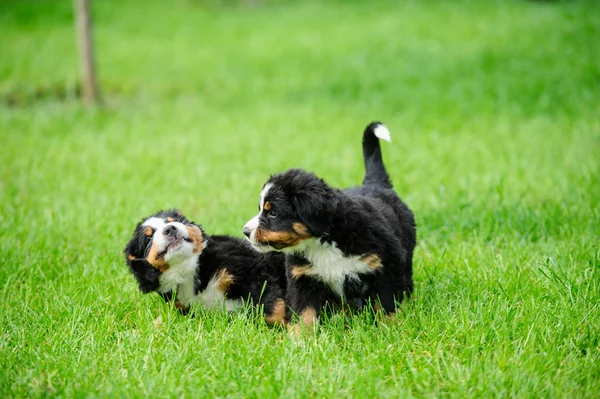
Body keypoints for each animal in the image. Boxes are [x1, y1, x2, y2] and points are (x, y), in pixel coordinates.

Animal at [123, 209, 288, 324]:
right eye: (148, 237)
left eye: (174, 220)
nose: (170, 228)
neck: (188, 269)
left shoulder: (254, 270)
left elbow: (272, 306)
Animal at [241, 122, 414, 334]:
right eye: (261, 209)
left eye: (272, 212)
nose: (245, 231)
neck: (321, 243)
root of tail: (376, 184)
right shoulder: (303, 278)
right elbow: (304, 313)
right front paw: (300, 338)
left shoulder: (387, 265)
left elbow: (387, 304)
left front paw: (390, 329)